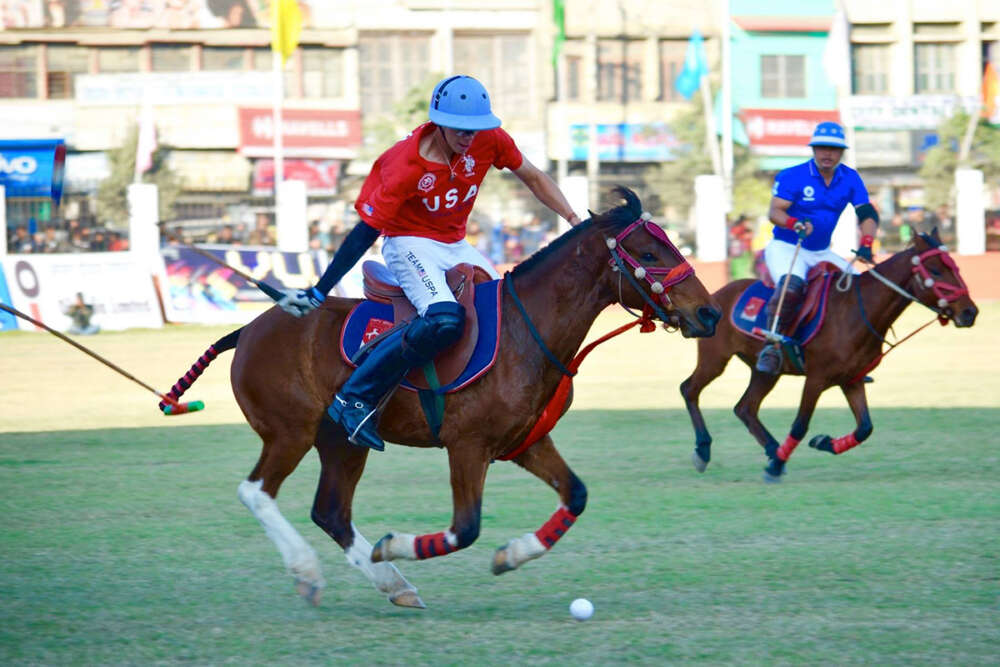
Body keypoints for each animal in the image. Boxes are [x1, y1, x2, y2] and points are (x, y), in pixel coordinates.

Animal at [170, 185, 720, 608]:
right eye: (648, 254)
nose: (710, 314)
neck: (527, 330)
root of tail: (247, 329)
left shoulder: (524, 442)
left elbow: (577, 495)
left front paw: (510, 554)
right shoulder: (467, 445)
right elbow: (465, 527)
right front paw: (395, 545)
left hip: (342, 442)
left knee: (331, 511)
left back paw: (392, 584)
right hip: (290, 430)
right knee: (257, 492)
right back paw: (309, 571)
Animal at [680, 228, 976, 480]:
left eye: (955, 267)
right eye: (936, 269)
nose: (970, 312)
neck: (857, 313)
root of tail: (713, 297)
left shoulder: (852, 380)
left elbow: (865, 428)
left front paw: (823, 442)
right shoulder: (816, 379)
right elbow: (800, 425)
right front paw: (776, 467)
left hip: (766, 371)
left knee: (746, 407)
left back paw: (773, 450)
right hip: (715, 359)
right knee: (689, 389)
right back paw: (705, 450)